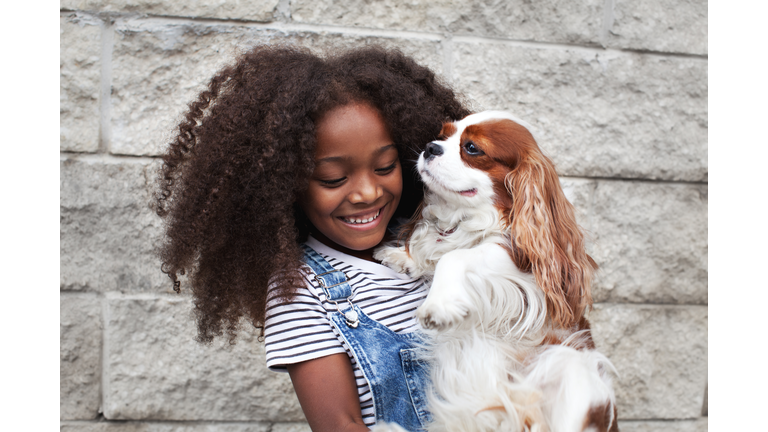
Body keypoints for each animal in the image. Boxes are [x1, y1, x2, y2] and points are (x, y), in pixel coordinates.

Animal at [372, 111, 616, 432]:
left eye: (472, 148)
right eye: (443, 135)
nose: (430, 148)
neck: (469, 217)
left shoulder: (523, 261)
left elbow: (455, 257)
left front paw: (439, 305)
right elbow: (437, 250)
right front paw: (404, 256)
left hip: (571, 371)